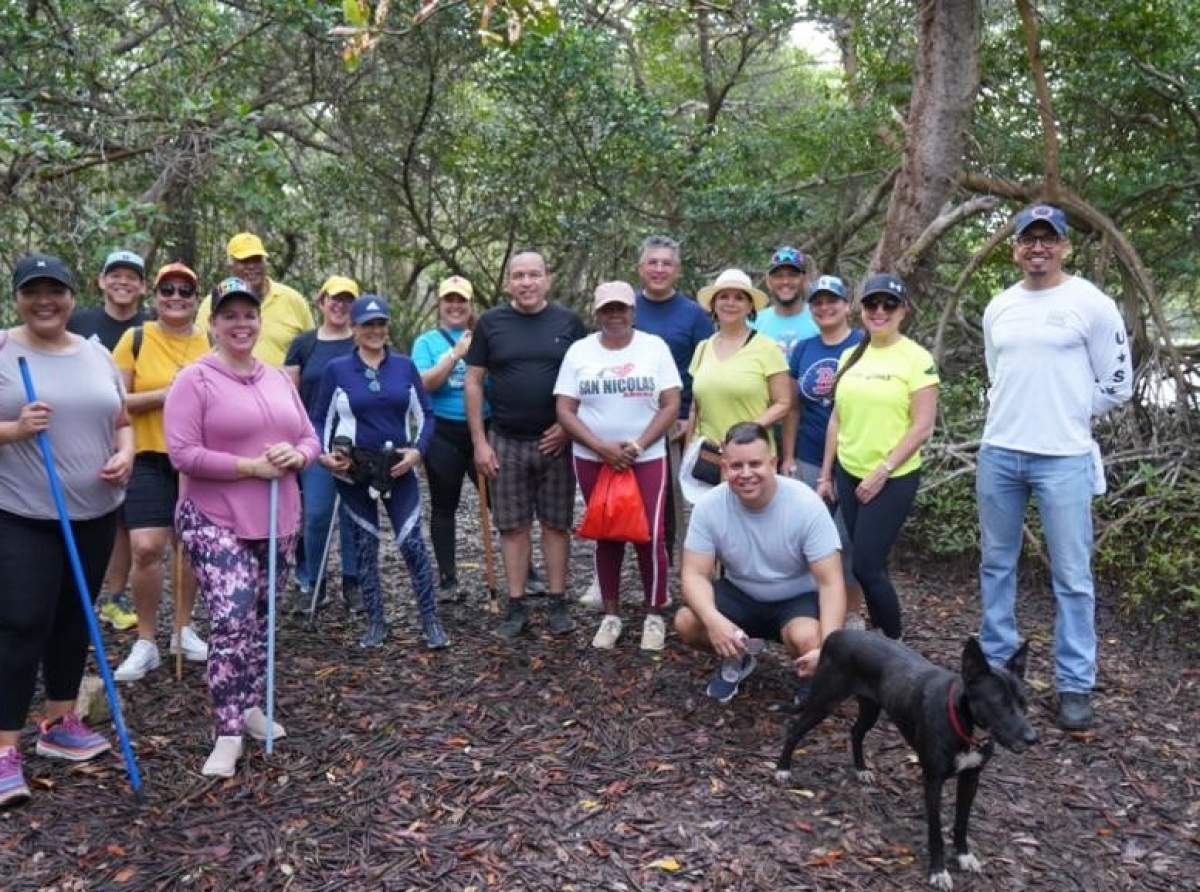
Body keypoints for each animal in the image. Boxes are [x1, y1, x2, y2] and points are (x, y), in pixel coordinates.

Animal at [772, 633, 1036, 888]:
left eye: (1024, 702)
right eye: (998, 703)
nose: (1034, 738)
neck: (963, 723)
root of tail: (835, 635)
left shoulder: (971, 778)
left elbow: (962, 822)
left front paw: (963, 856)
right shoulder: (932, 782)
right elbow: (936, 833)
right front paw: (938, 871)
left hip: (870, 707)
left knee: (856, 732)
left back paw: (861, 769)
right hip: (824, 701)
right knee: (794, 730)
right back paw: (782, 769)